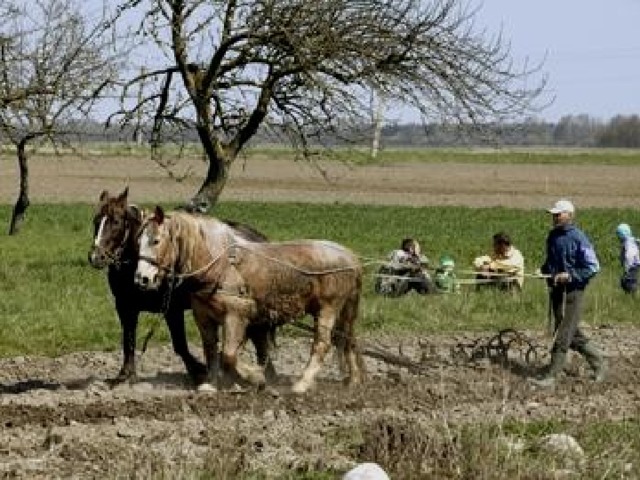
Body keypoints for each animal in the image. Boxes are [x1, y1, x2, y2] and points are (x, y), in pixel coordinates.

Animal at [88, 188, 276, 385]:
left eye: (116, 222)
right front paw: (125, 374)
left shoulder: (172, 309)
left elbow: (180, 344)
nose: (96, 257)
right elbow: (128, 340)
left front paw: (199, 370)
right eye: (96, 221)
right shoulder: (126, 308)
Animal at [134, 205, 365, 394]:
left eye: (156, 240)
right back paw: (353, 380)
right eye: (137, 242)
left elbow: (228, 354)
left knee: (322, 344)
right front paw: (212, 384)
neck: (219, 264)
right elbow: (211, 351)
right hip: (343, 310)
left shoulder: (235, 316)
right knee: (348, 340)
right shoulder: (203, 318)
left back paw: (302, 383)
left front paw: (255, 377)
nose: (141, 278)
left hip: (328, 309)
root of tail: (350, 256)